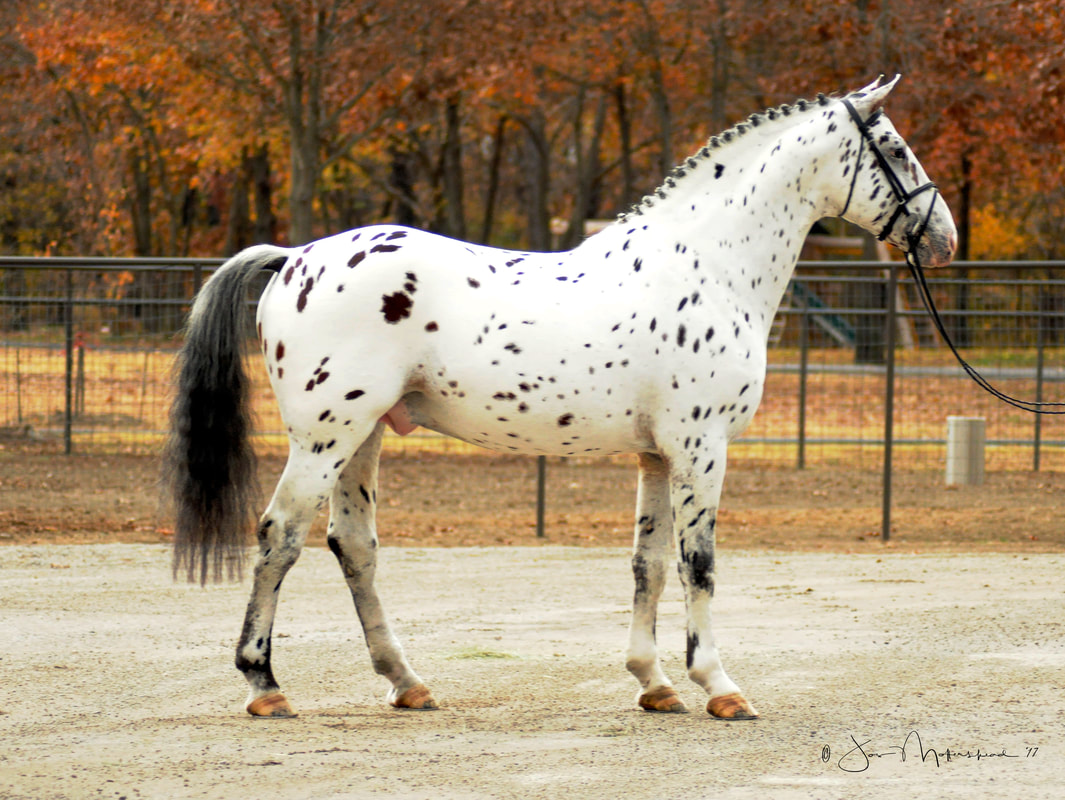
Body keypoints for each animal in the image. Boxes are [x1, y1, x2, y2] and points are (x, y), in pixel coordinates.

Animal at [164, 78, 958, 724]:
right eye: (894, 148)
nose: (945, 237)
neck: (706, 263)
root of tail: (295, 258)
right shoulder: (701, 449)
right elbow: (698, 563)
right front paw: (719, 686)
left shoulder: (657, 457)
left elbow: (649, 565)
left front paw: (653, 683)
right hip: (325, 438)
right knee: (278, 536)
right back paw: (264, 684)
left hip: (364, 437)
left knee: (352, 545)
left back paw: (406, 682)